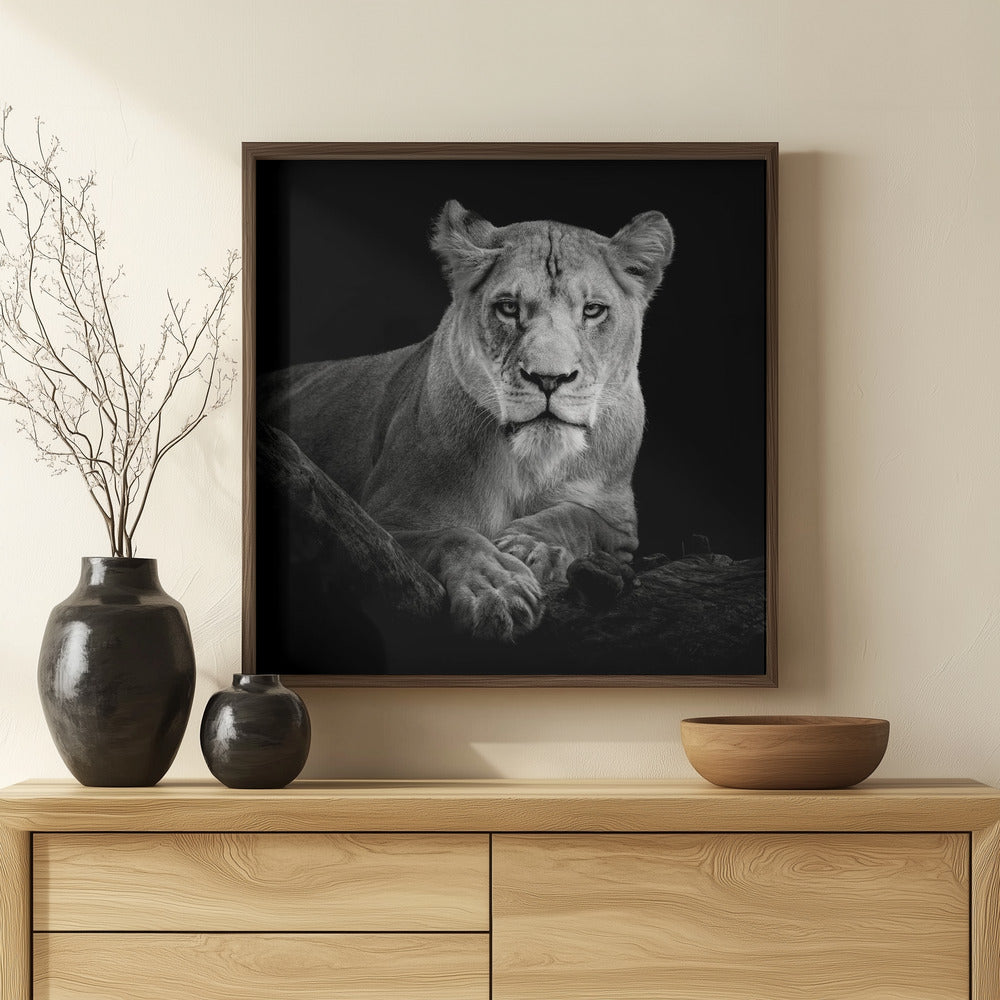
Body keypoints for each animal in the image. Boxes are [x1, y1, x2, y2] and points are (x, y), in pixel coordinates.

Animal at [260, 200, 674, 642]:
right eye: (509, 307)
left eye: (593, 310)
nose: (549, 378)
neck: (529, 463)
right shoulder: (379, 523)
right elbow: (454, 535)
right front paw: (497, 589)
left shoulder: (620, 524)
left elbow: (578, 517)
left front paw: (532, 547)